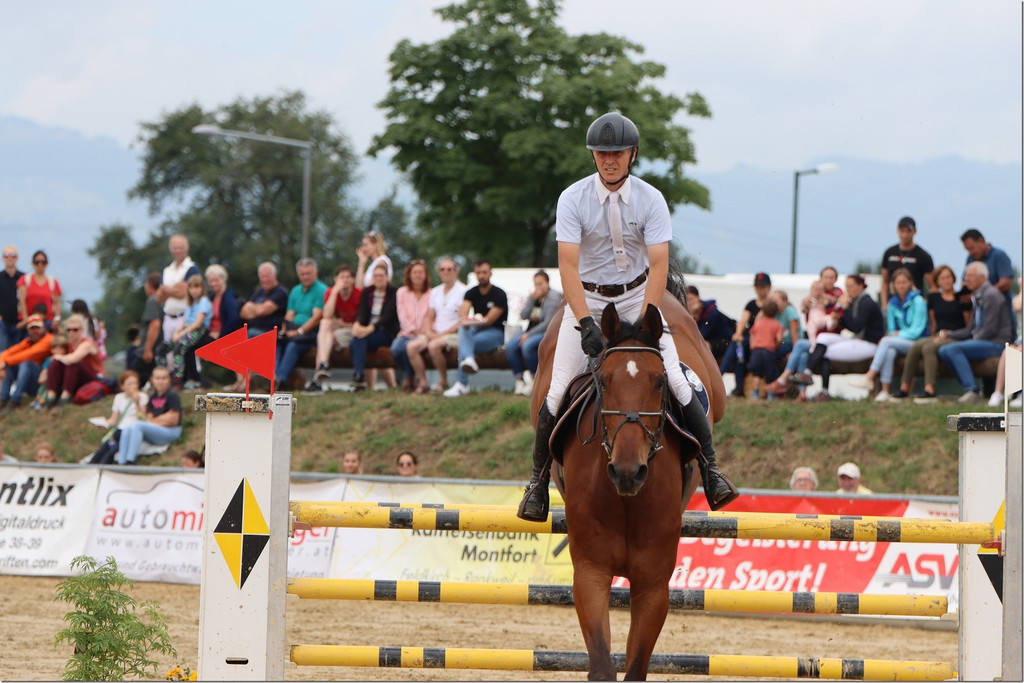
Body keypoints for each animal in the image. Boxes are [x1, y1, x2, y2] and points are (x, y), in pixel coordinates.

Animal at [529, 295, 724, 680]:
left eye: (660, 382)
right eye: (603, 382)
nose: (627, 472)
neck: (624, 498)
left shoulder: (652, 583)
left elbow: (635, 667)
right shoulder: (591, 572)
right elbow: (602, 666)